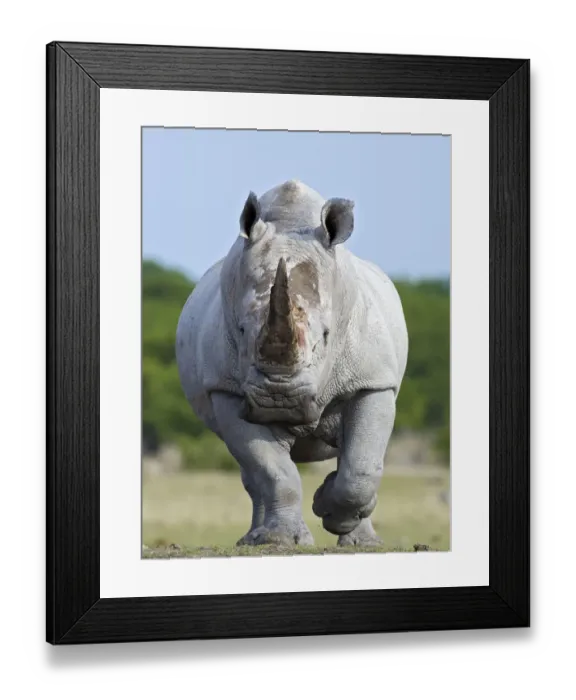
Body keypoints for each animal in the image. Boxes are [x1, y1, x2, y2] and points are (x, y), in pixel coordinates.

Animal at [176, 179, 408, 548]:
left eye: (326, 335)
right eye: (241, 330)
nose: (279, 400)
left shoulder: (373, 381)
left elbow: (361, 465)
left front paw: (330, 510)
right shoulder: (227, 388)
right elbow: (271, 470)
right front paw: (281, 540)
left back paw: (363, 543)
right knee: (253, 473)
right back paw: (255, 540)